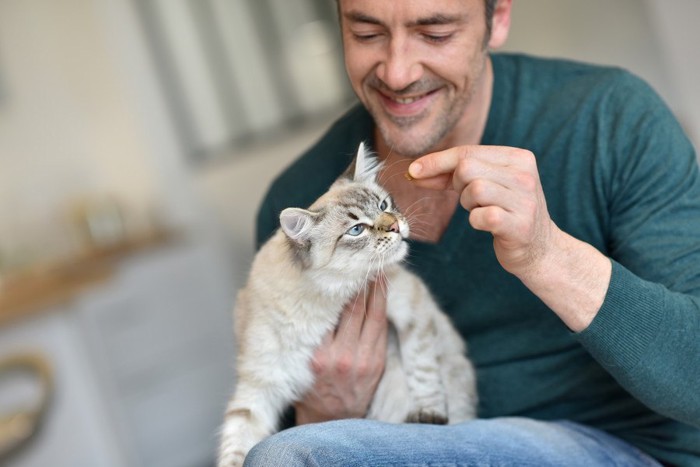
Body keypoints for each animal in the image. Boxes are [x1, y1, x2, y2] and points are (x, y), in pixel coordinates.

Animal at [217, 144, 476, 467]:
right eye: (356, 230)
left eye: (383, 205)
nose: (395, 226)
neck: (321, 302)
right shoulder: (261, 380)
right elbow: (236, 441)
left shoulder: (411, 308)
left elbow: (422, 370)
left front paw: (429, 414)